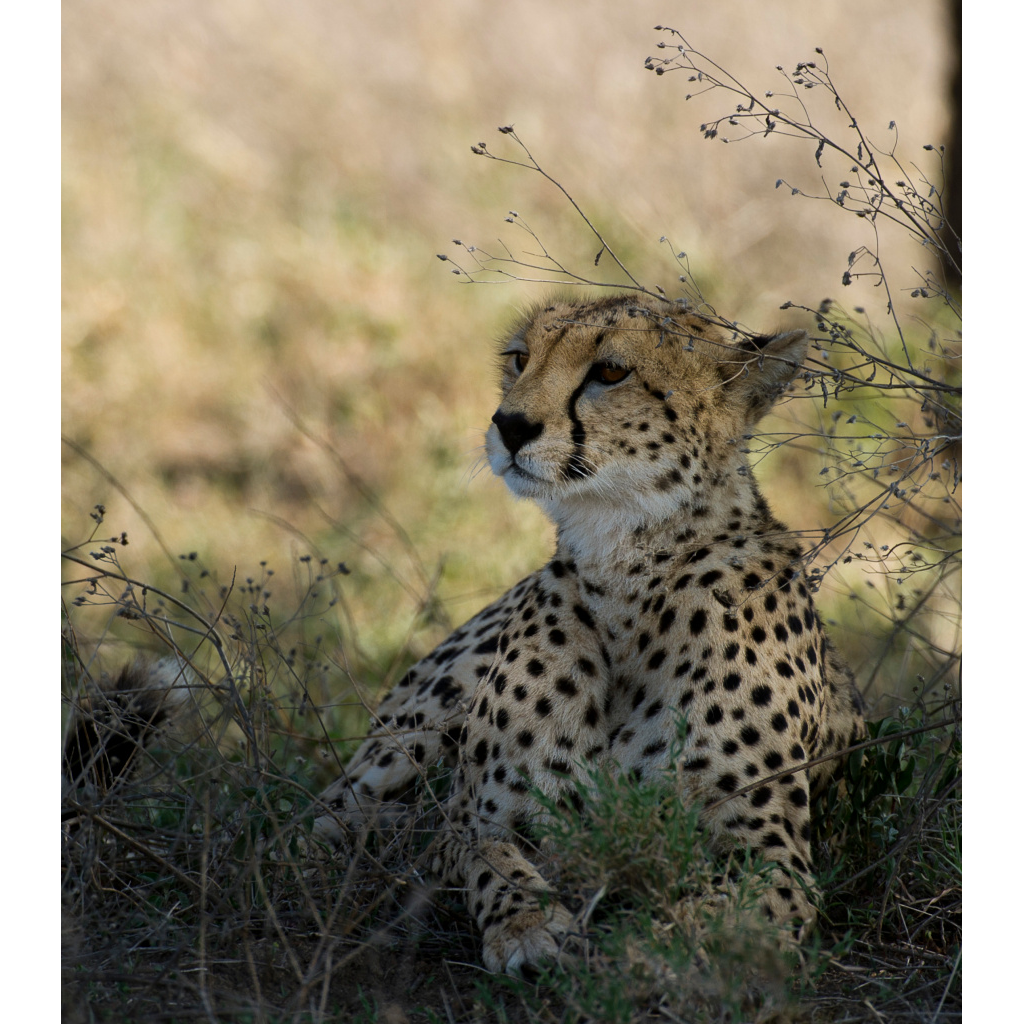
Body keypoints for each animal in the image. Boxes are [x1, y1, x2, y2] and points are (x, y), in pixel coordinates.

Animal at [313, 292, 866, 974]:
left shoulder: (775, 856)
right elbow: (489, 858)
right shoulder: (477, 819)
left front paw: (640, 952)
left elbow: (718, 914)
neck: (626, 564)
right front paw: (529, 926)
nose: (509, 425)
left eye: (610, 372)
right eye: (520, 358)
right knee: (327, 817)